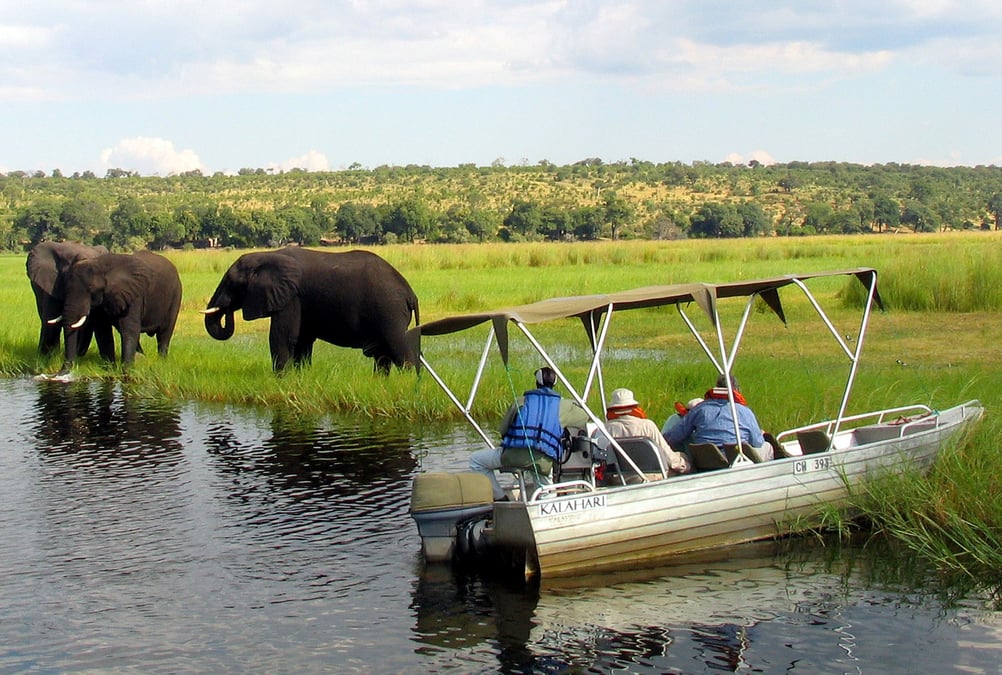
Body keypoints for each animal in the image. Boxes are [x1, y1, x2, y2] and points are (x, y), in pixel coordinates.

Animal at [54, 250, 183, 371]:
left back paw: (162, 361)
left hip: (176, 295)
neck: (100, 265)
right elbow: (102, 330)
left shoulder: (133, 294)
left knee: (165, 333)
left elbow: (129, 329)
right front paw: (110, 368)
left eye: (91, 289)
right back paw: (141, 357)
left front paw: (126, 371)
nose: (61, 373)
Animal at [202, 247, 420, 373]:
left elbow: (282, 337)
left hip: (390, 311)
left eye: (231, 282)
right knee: (382, 355)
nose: (227, 308)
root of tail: (411, 293)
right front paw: (301, 377)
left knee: (398, 348)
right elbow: (302, 339)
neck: (265, 254)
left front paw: (280, 379)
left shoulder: (291, 297)